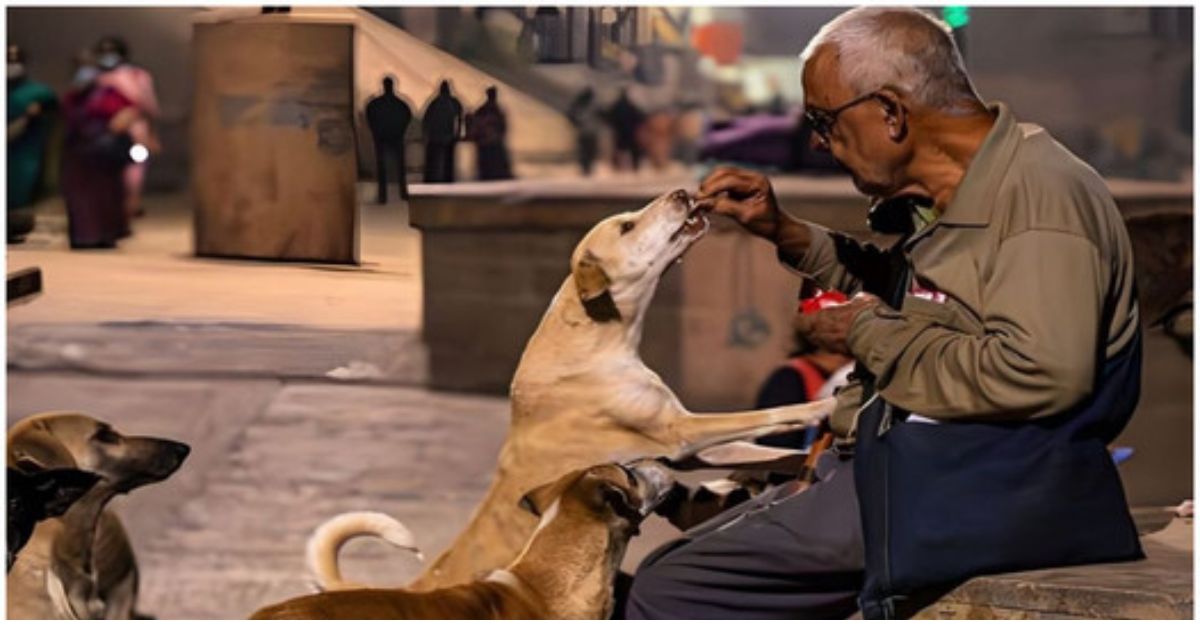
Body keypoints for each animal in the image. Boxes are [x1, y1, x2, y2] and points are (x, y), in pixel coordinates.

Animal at [309, 188, 835, 590]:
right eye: (627, 225)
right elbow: (771, 414)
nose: (684, 192)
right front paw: (827, 403)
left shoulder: (697, 451)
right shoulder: (681, 433)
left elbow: (768, 449)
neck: (597, 338)